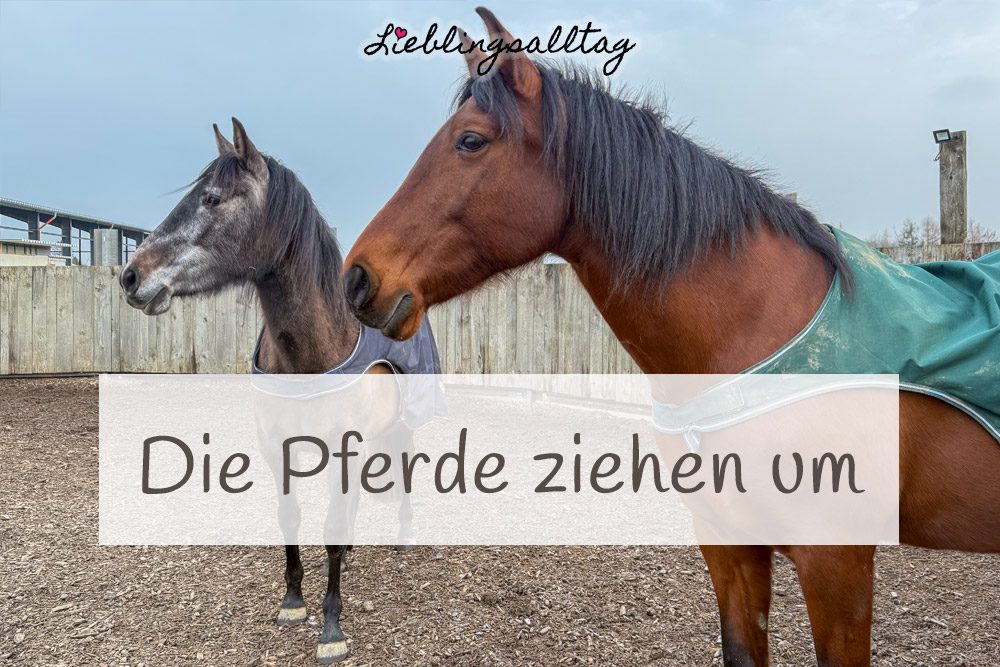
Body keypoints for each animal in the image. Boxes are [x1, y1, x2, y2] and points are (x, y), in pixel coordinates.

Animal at [120, 118, 438, 663]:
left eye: (212, 199)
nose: (131, 275)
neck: (313, 352)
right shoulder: (278, 448)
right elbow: (290, 517)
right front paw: (293, 601)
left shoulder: (343, 450)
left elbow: (328, 530)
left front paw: (332, 628)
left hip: (400, 428)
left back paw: (403, 536)